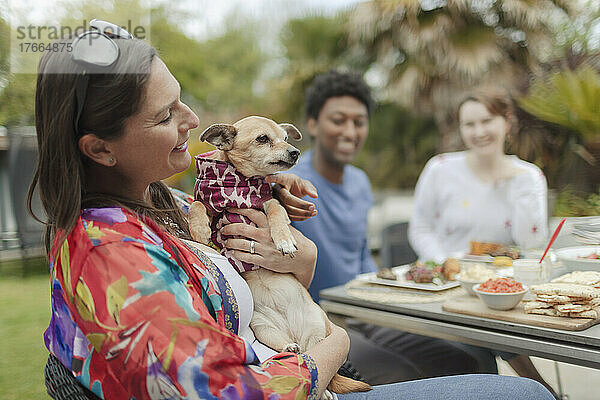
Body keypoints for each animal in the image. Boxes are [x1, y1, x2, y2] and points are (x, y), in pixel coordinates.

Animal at [190, 115, 372, 396]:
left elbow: (275, 211)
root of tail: (295, 334)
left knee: (320, 367)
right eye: (262, 139)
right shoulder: (214, 211)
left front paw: (284, 240)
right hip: (264, 328)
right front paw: (197, 228)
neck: (240, 184)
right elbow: (197, 204)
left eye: (286, 138)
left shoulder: (271, 202)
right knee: (292, 349)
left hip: (317, 331)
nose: (295, 151)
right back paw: (289, 347)